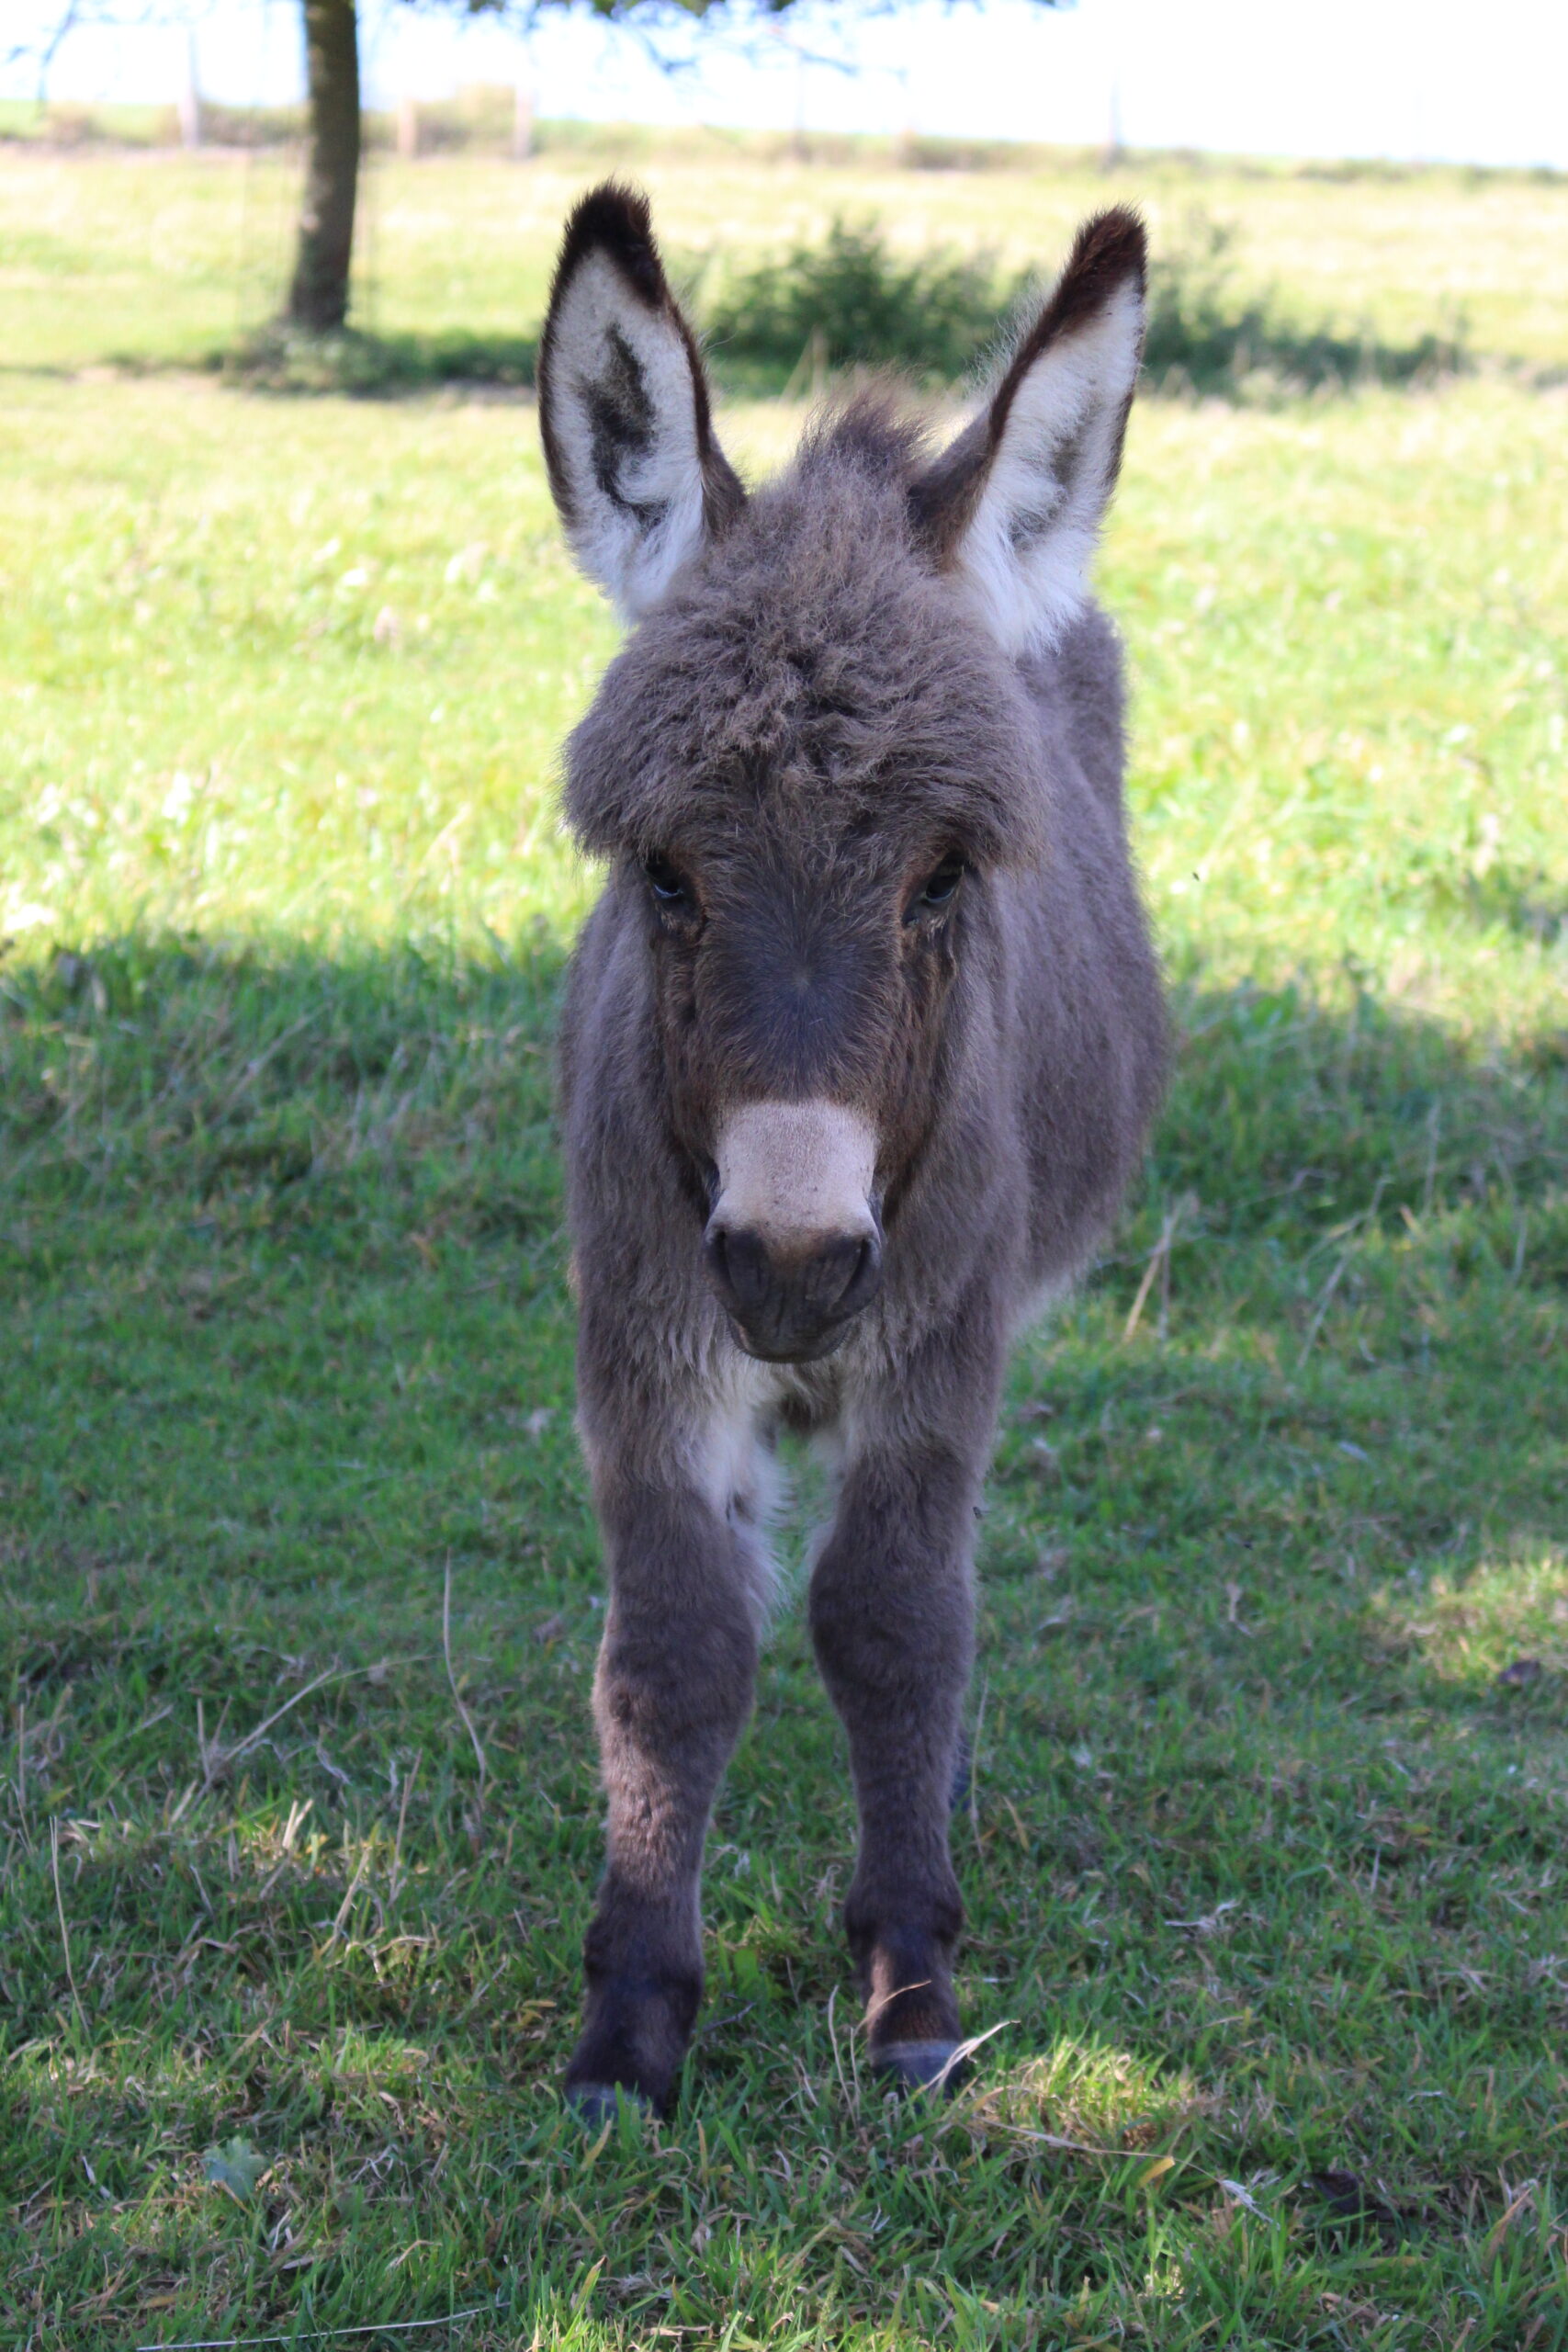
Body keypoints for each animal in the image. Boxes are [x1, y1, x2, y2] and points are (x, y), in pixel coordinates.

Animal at [537, 184, 1167, 2120]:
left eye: (943, 877)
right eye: (665, 875)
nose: (795, 1265)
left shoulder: (935, 1341)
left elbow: (893, 1619)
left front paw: (908, 1988)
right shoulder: (650, 1337)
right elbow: (674, 1648)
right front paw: (634, 2019)